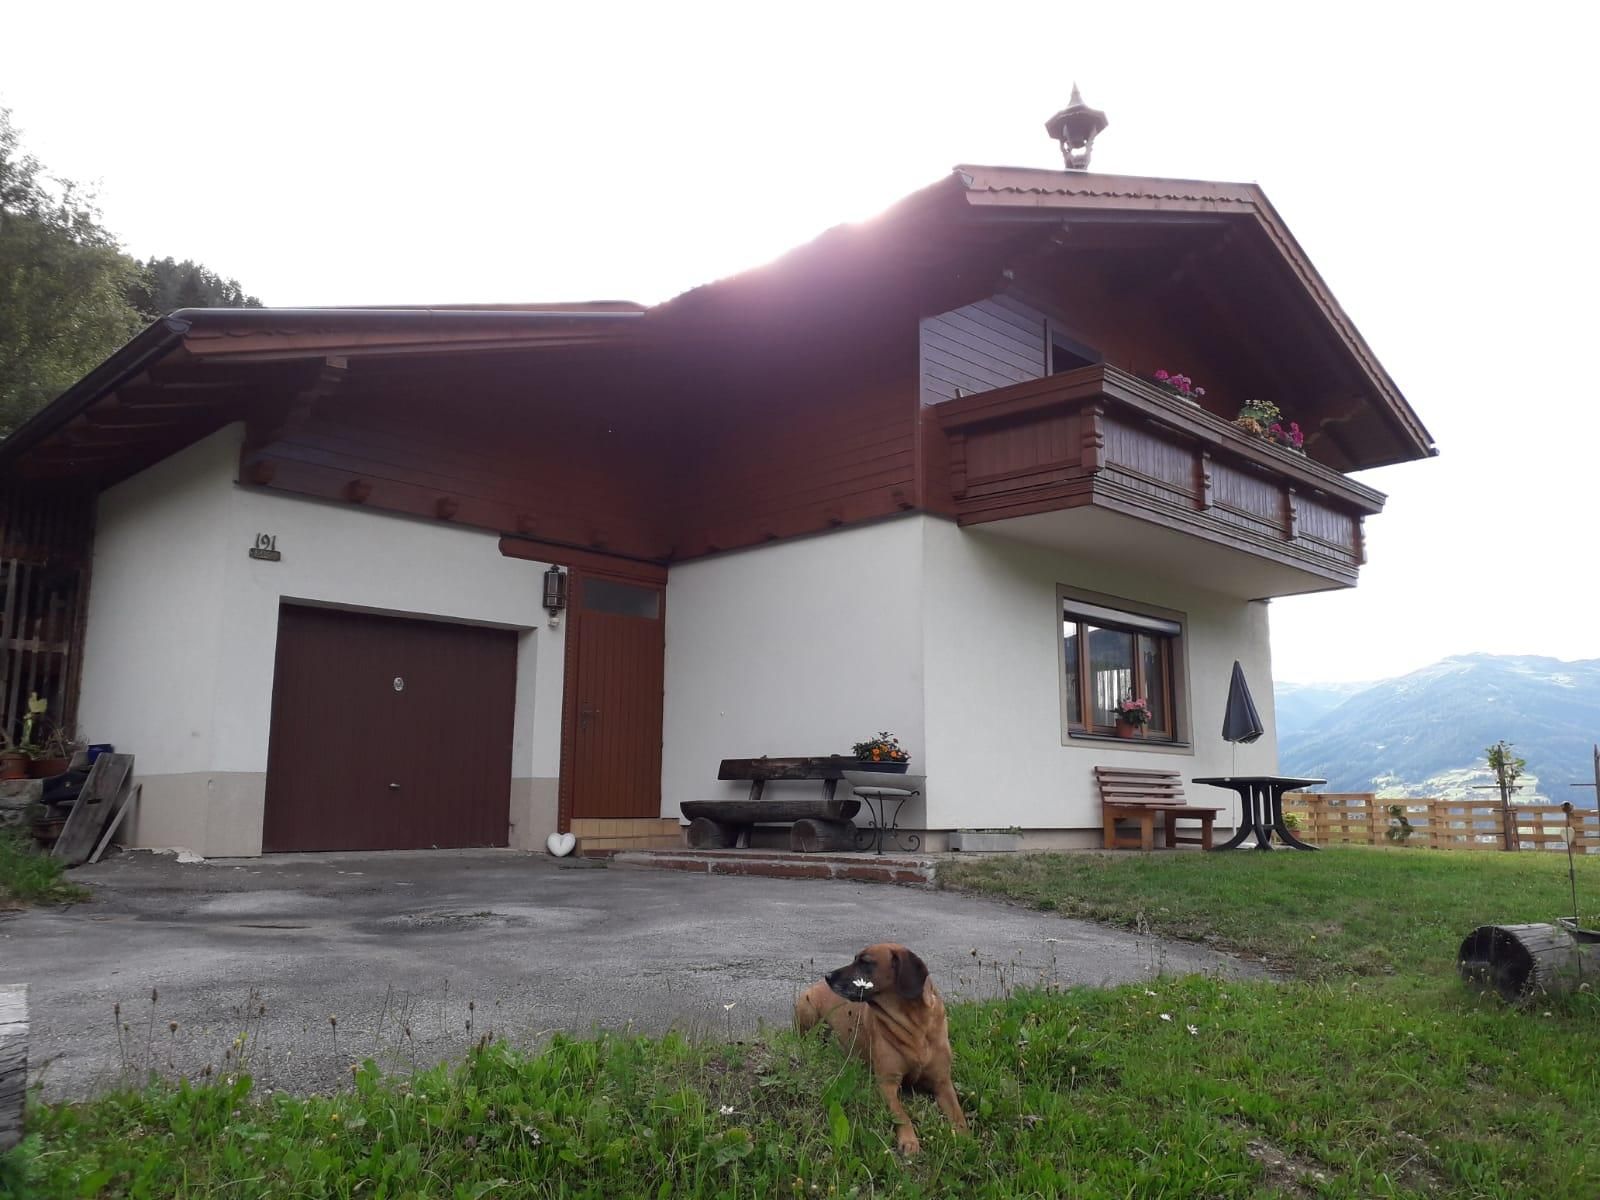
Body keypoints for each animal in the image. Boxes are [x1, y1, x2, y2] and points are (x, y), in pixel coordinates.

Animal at [794, 943, 967, 1155]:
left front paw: (965, 1137)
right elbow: (901, 1113)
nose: (828, 976)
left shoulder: (942, 1082)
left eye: (865, 962)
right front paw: (909, 1140)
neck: (916, 1026)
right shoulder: (887, 1084)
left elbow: (958, 1114)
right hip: (807, 1008)